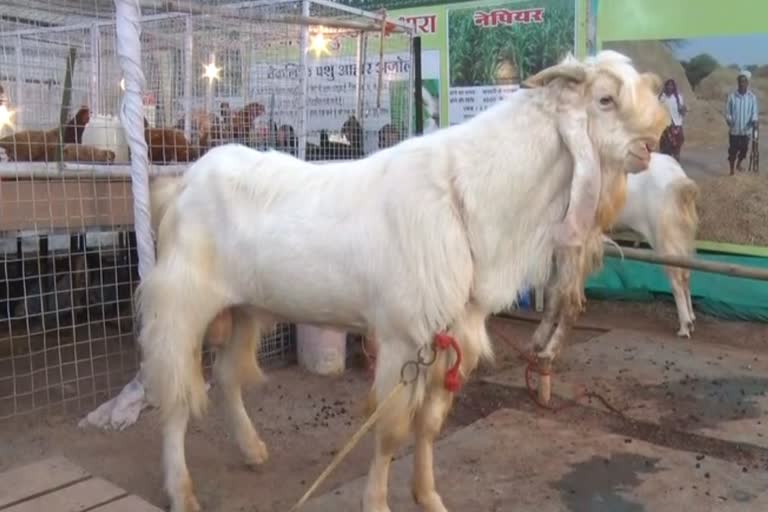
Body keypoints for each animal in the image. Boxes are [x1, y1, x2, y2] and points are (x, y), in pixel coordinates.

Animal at [141, 51, 668, 512]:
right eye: (605, 100)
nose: (652, 145)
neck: (468, 196)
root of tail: (182, 183)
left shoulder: (451, 336)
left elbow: (429, 426)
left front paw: (429, 497)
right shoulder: (401, 339)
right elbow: (393, 430)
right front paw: (376, 502)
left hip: (245, 308)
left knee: (228, 375)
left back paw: (252, 450)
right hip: (182, 305)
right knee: (175, 396)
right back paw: (182, 492)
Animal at [616, 152, 700, 336]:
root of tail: (678, 178)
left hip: (665, 240)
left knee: (677, 280)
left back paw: (684, 326)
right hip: (681, 238)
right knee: (686, 276)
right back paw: (691, 318)